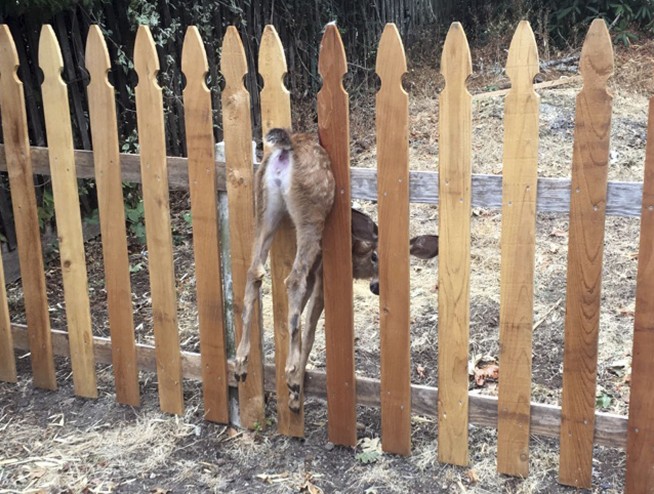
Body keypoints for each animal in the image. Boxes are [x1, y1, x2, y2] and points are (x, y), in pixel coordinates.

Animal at [234, 128, 439, 413]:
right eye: (374, 255)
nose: (376, 287)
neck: (354, 252)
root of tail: (287, 145)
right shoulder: (321, 275)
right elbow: (309, 327)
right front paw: (295, 386)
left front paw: (294, 393)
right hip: (312, 212)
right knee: (292, 279)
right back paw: (289, 371)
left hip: (265, 204)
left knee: (254, 271)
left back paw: (241, 362)